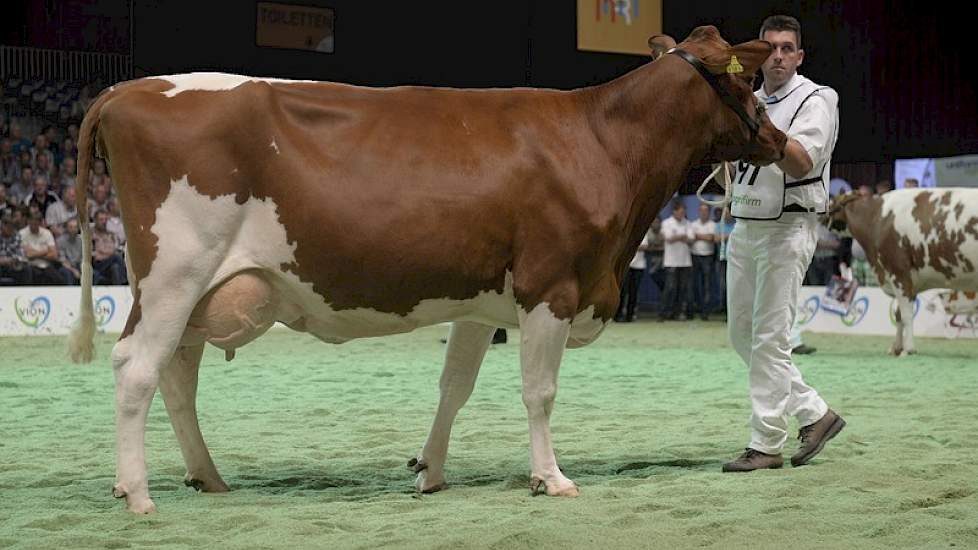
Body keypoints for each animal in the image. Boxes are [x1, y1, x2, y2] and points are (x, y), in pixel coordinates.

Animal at [68, 27, 784, 516]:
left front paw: (430, 472)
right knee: (136, 367)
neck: (600, 142)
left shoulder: (481, 301)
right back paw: (137, 492)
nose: (779, 141)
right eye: (746, 84)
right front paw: (550, 478)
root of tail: (128, 87)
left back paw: (208, 477)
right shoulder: (550, 286)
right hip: (176, 271)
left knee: (177, 374)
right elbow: (539, 392)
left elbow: (454, 388)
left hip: (191, 286)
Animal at [828, 188, 976, 356]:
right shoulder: (911, 282)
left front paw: (908, 349)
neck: (877, 218)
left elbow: (906, 315)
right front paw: (896, 347)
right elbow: (898, 314)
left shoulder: (899, 273)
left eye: (832, 202)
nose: (821, 217)